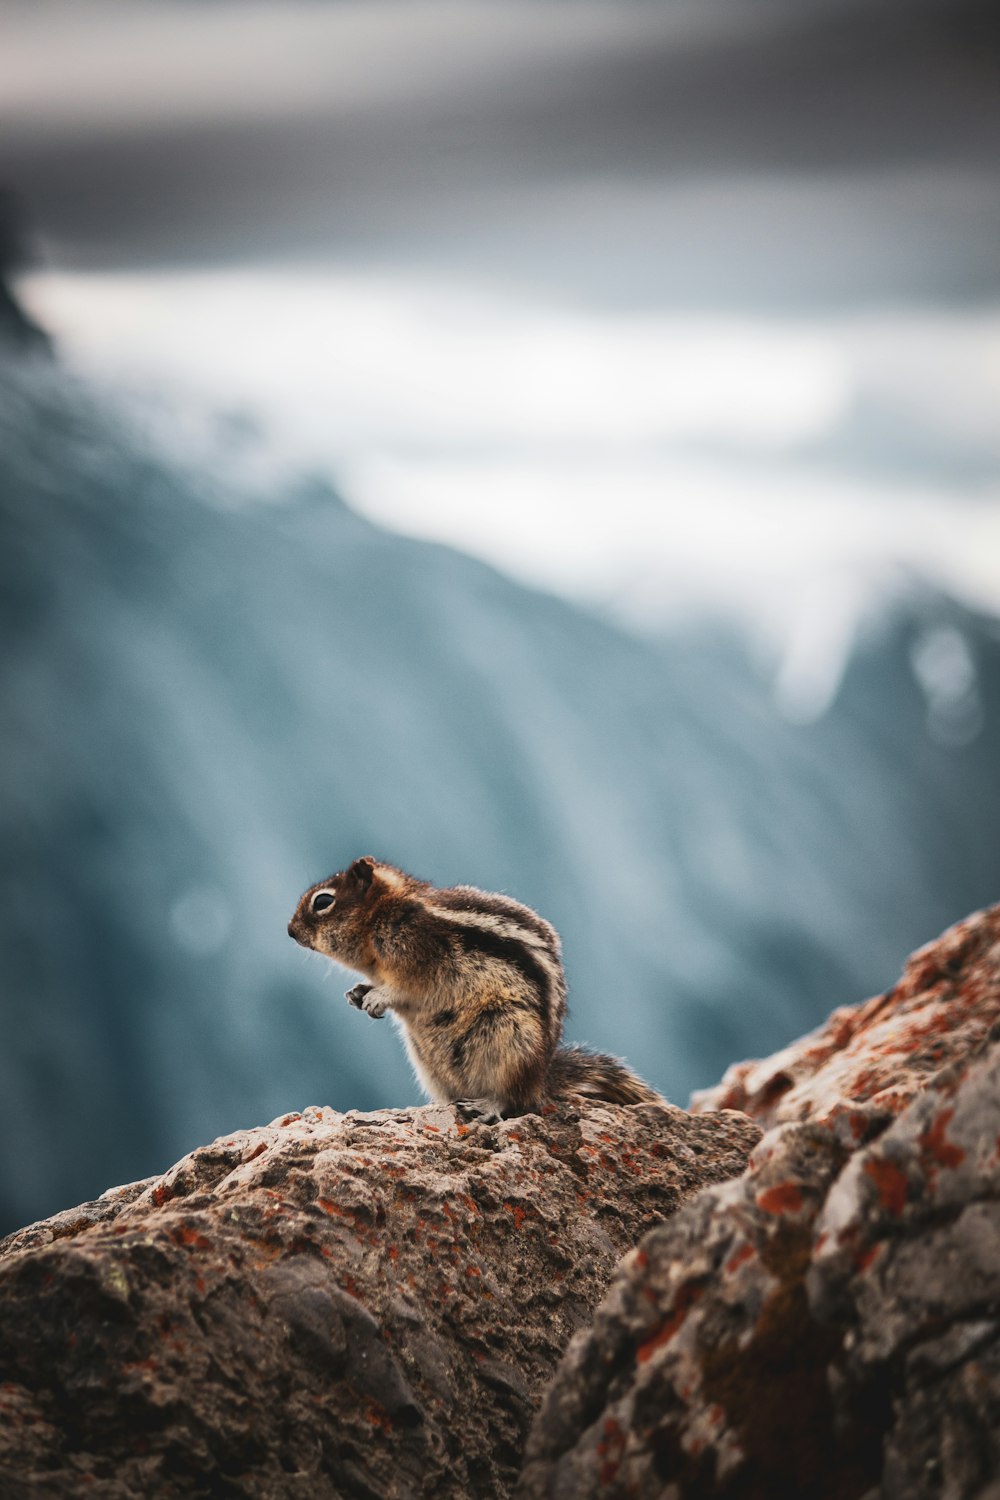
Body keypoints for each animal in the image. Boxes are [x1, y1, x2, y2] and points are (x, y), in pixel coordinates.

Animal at [289, 858, 665, 1128]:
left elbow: (402, 988)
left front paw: (376, 997)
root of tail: (541, 1079)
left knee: (514, 1099)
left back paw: (486, 1105)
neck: (384, 914)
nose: (290, 931)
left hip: (510, 1035)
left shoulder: (416, 954)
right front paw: (357, 992)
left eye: (323, 901)